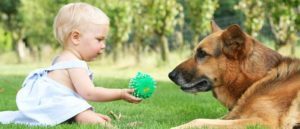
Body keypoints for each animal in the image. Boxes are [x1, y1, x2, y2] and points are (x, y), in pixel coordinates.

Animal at [169, 20, 300, 128]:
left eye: (202, 53)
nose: (170, 75)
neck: (259, 78)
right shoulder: (233, 116)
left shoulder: (264, 122)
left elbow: (199, 120)